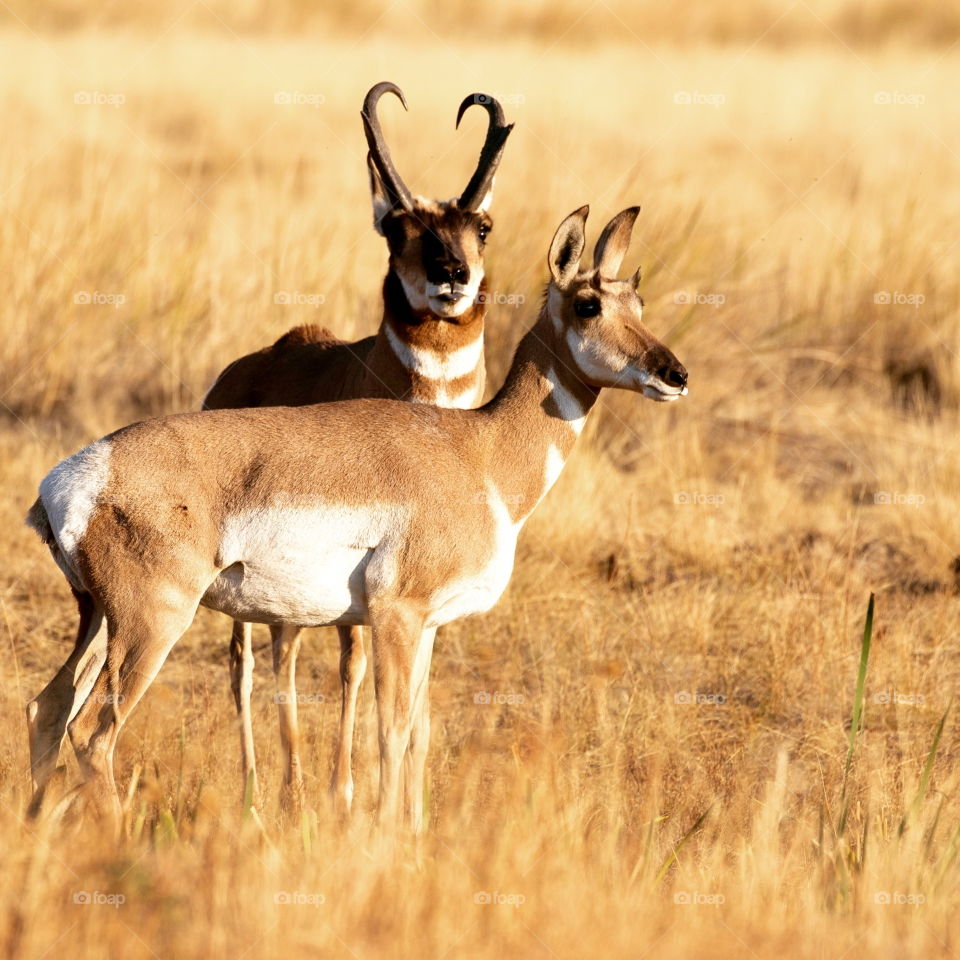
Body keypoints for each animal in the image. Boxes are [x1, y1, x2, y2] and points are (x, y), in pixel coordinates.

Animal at [26, 80, 512, 816]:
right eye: (397, 228)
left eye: (479, 226)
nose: (452, 277)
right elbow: (345, 663)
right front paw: (342, 796)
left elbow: (382, 682)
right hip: (183, 607)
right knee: (243, 664)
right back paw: (263, 790)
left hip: (111, 612)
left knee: (55, 705)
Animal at [26, 204, 688, 832]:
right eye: (587, 304)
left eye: (639, 300)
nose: (675, 374)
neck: (479, 451)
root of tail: (73, 476)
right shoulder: (396, 616)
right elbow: (390, 733)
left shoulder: (428, 626)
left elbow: (420, 735)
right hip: (152, 624)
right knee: (93, 732)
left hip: (99, 620)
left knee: (48, 709)